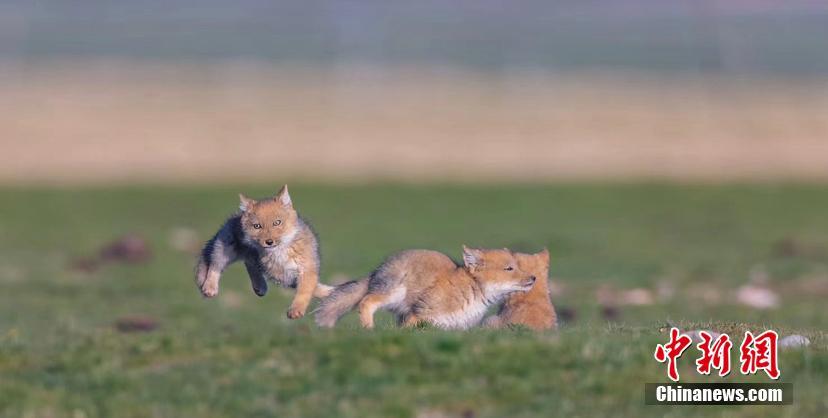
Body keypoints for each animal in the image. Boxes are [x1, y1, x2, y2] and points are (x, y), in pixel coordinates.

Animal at [195, 185, 333, 319]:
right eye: (257, 226)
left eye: (277, 223)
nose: (269, 242)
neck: (281, 251)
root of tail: (237, 214)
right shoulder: (280, 274)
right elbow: (307, 287)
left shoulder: (306, 269)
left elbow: (305, 290)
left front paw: (297, 308)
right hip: (225, 251)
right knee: (215, 266)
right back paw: (210, 287)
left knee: (249, 263)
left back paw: (260, 286)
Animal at [315, 246, 537, 330]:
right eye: (509, 268)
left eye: (517, 265)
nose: (534, 277)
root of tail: (377, 270)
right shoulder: (419, 315)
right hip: (391, 294)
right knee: (366, 302)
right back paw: (369, 329)